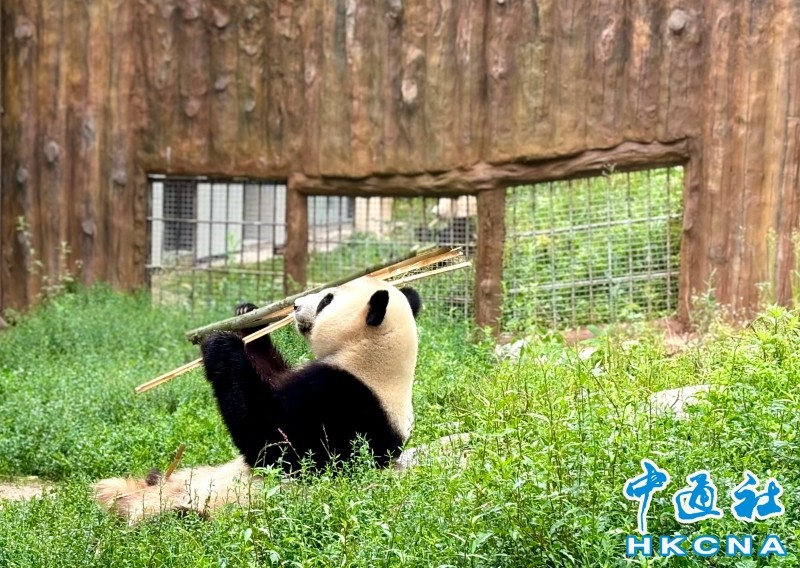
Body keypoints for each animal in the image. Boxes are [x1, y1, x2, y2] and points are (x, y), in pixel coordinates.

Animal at [94, 277, 422, 522]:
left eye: (327, 300)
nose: (295, 305)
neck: (372, 360)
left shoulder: (342, 402)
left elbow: (273, 445)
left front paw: (221, 344)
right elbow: (270, 376)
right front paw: (248, 318)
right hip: (193, 474)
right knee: (160, 479)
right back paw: (121, 488)